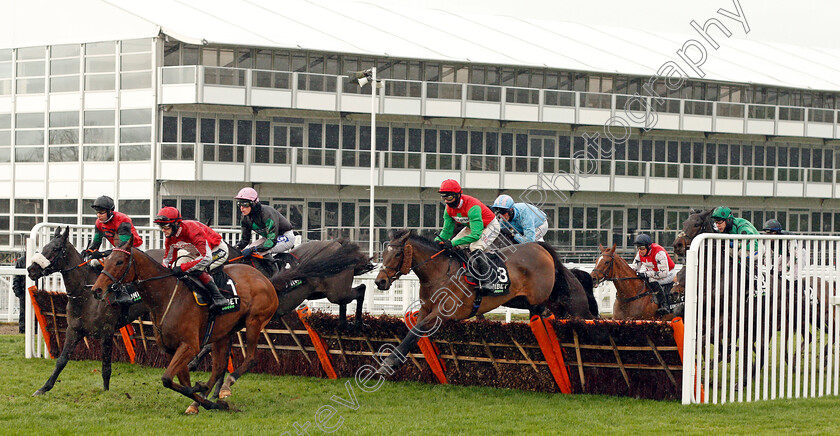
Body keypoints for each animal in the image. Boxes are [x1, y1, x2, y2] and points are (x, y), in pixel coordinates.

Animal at [26, 227, 163, 396]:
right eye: (45, 247)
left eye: (56, 248)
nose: (31, 269)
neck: (85, 294)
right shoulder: (74, 330)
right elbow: (62, 360)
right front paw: (44, 388)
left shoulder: (107, 332)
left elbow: (106, 366)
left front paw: (105, 391)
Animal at [91, 237, 278, 414]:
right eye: (107, 259)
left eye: (119, 262)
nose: (96, 290)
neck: (167, 296)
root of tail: (264, 278)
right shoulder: (170, 349)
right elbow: (181, 382)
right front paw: (207, 402)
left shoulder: (189, 346)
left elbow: (169, 379)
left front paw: (201, 390)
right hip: (224, 332)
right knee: (218, 367)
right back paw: (203, 399)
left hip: (254, 321)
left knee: (251, 358)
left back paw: (226, 385)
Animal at [374, 232, 596, 372]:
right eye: (383, 254)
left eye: (397, 253)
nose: (380, 281)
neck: (440, 272)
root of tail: (539, 246)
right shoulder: (426, 309)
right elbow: (413, 331)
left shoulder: (443, 312)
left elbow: (416, 330)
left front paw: (390, 362)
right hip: (532, 300)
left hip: (538, 302)